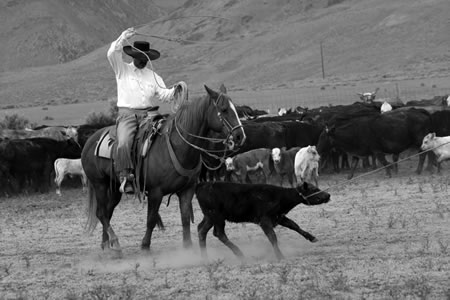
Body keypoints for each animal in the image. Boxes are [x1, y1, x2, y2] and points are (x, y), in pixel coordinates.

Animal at [82, 84, 248, 253]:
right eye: (224, 109)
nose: (240, 136)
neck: (178, 146)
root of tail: (90, 140)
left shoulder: (187, 190)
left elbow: (185, 218)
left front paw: (188, 247)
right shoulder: (156, 192)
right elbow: (151, 219)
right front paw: (145, 245)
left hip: (115, 187)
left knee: (107, 212)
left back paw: (106, 244)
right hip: (99, 184)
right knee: (101, 213)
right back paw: (114, 243)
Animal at [196, 180, 330, 260]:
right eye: (314, 189)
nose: (328, 195)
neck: (280, 197)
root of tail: (202, 186)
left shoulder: (279, 217)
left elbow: (294, 225)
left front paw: (312, 237)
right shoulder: (264, 220)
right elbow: (272, 236)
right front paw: (280, 255)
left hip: (209, 217)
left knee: (201, 230)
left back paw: (204, 257)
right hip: (217, 216)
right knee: (219, 233)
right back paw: (239, 253)